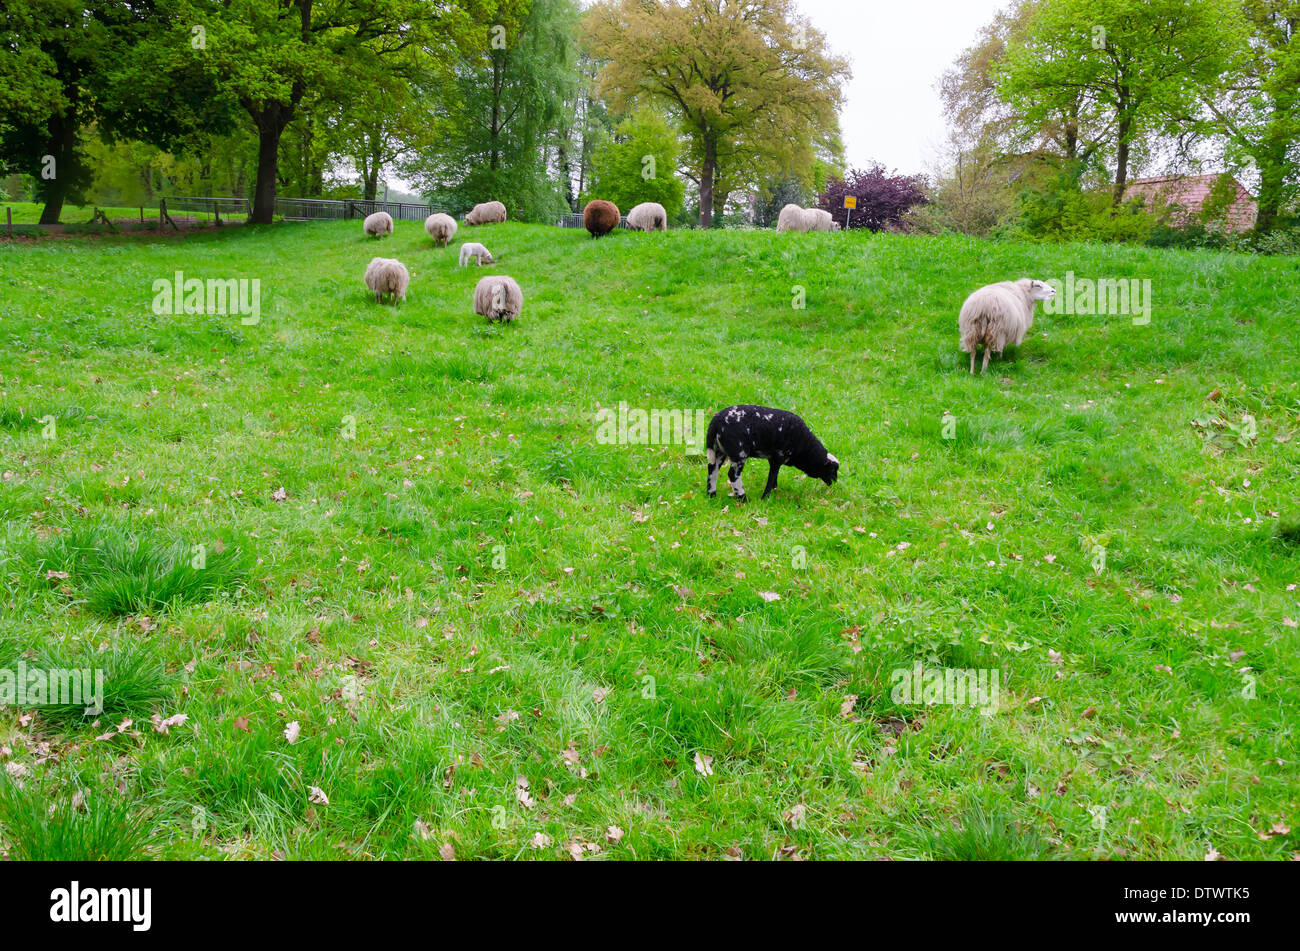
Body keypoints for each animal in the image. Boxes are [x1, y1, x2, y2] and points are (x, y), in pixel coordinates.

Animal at [705, 405, 839, 502]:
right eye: (832, 470)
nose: (835, 482)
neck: (805, 447)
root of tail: (716, 422)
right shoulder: (778, 458)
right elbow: (771, 477)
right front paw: (765, 498)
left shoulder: (773, 460)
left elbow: (774, 476)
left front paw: (775, 490)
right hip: (739, 453)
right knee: (733, 475)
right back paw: (743, 498)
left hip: (719, 451)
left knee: (712, 470)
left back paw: (711, 495)